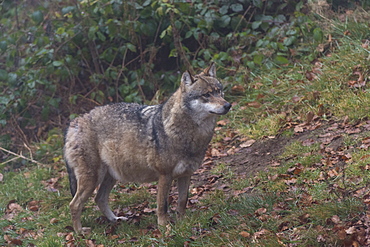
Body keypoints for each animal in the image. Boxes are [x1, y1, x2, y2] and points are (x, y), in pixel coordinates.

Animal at [64, 63, 231, 233]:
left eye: (219, 91)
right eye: (206, 95)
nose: (228, 105)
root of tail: (75, 122)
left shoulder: (186, 174)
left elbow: (182, 201)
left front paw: (182, 223)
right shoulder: (165, 175)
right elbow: (162, 206)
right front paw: (164, 227)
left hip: (111, 177)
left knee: (100, 198)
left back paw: (116, 220)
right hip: (92, 179)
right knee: (74, 204)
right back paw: (80, 232)